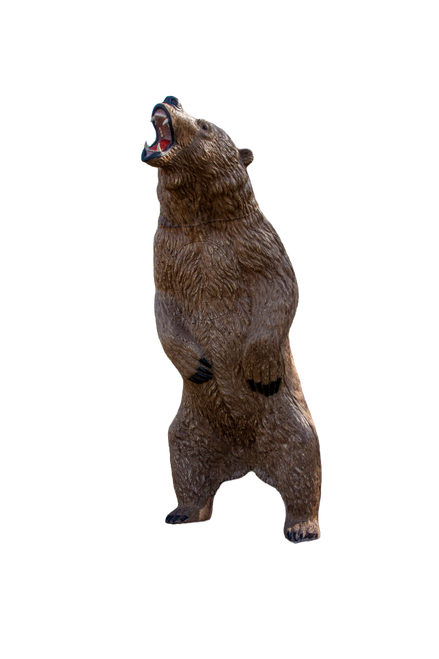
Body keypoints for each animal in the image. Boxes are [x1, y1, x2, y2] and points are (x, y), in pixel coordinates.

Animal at [140, 95, 322, 543]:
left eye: (205, 123)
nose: (168, 99)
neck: (202, 222)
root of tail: (246, 458)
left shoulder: (252, 241)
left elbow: (279, 286)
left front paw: (257, 366)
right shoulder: (168, 247)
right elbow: (163, 301)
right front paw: (198, 364)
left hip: (285, 415)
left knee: (301, 456)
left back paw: (302, 525)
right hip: (190, 424)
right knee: (185, 458)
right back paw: (181, 511)